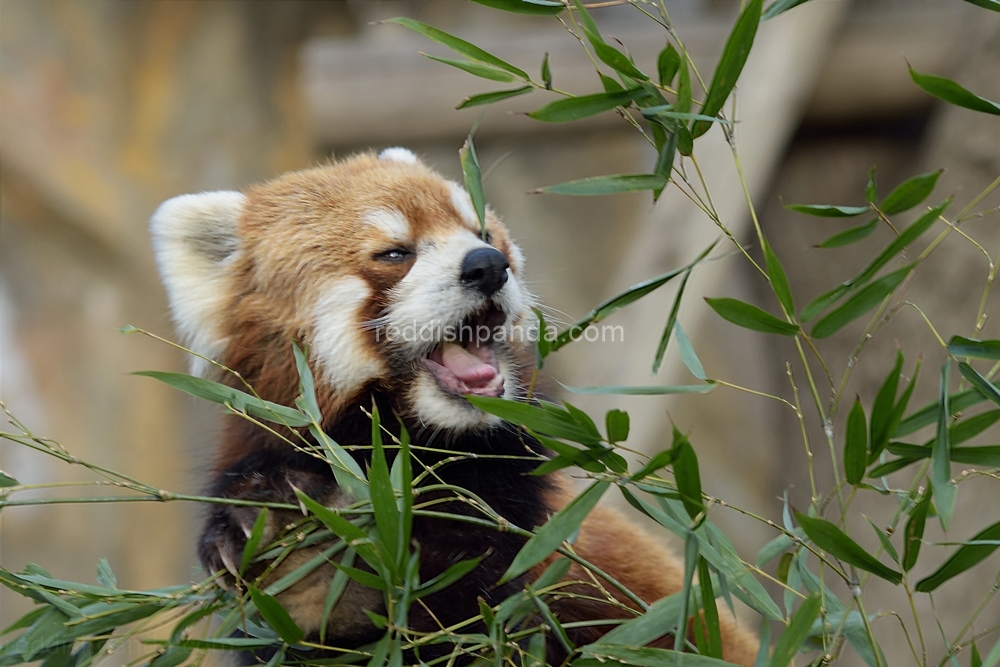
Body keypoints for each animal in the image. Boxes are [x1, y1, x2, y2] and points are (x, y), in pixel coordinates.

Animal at [148, 149, 756, 664]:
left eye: (483, 233)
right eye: (395, 253)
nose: (488, 265)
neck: (410, 451)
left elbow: (472, 608)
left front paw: (325, 576)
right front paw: (291, 553)